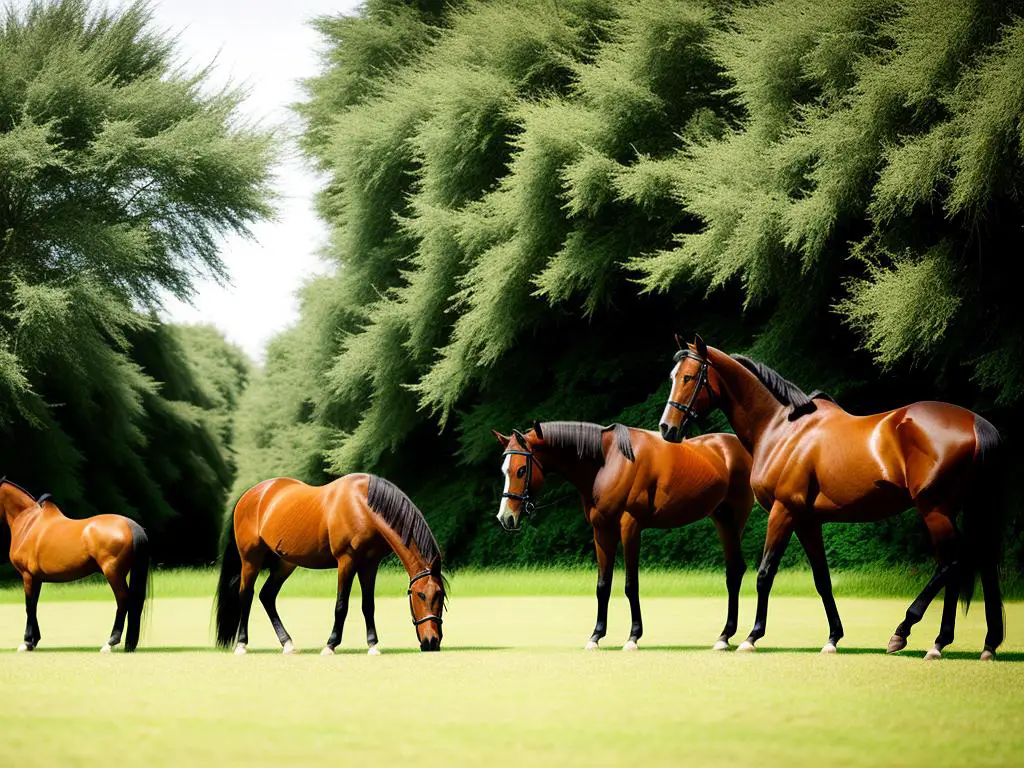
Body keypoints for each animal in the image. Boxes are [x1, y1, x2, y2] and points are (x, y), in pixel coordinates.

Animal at [0, 479, 150, 651]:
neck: (29, 523)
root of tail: (130, 525)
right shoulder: (36, 578)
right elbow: (34, 605)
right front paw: (34, 640)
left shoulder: (27, 576)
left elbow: (28, 606)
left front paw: (26, 642)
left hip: (113, 573)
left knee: (123, 600)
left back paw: (110, 642)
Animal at [216, 475, 444, 655]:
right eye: (420, 595)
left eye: (440, 596)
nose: (431, 642)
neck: (362, 506)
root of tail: (250, 495)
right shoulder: (346, 561)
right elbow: (341, 605)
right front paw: (331, 645)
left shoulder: (370, 564)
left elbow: (368, 605)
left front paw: (373, 645)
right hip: (250, 559)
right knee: (246, 595)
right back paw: (242, 644)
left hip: (285, 563)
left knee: (267, 595)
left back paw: (287, 643)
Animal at [491, 423, 757, 651]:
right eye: (504, 470)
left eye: (521, 470)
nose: (506, 517)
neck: (608, 462)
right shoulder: (602, 530)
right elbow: (603, 585)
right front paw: (596, 635)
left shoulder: (630, 527)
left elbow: (631, 584)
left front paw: (633, 636)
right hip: (722, 520)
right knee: (734, 571)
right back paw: (725, 636)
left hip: (735, 521)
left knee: (735, 571)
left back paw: (729, 635)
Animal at [659, 335, 1003, 663]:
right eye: (672, 376)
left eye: (690, 377)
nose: (667, 429)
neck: (781, 429)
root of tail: (975, 422)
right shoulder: (807, 521)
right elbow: (822, 579)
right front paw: (833, 638)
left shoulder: (783, 511)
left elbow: (765, 574)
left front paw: (751, 636)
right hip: (952, 510)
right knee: (978, 564)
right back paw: (974, 643)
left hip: (934, 510)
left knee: (951, 564)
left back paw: (907, 632)